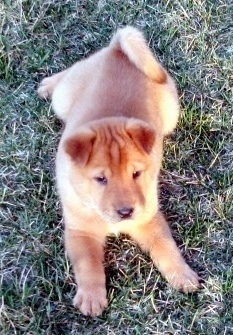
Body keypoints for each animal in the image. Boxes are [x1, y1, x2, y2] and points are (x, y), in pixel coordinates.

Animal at [37, 26, 199, 318]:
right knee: (66, 77)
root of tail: (116, 50)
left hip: (171, 113)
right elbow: (88, 264)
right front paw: (91, 298)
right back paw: (46, 85)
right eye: (101, 179)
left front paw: (183, 275)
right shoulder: (80, 230)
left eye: (137, 174)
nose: (125, 212)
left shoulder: (148, 219)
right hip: (65, 98)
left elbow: (166, 248)